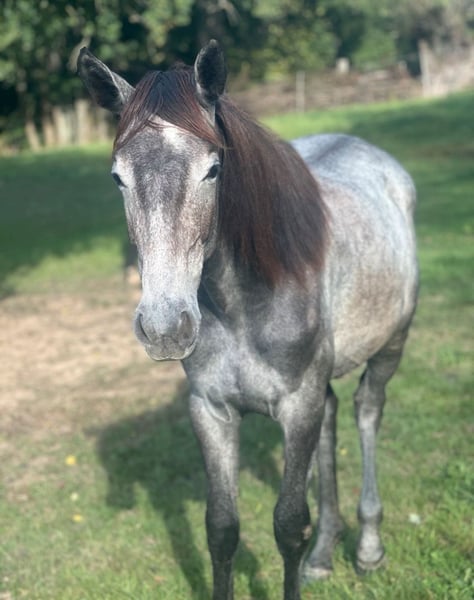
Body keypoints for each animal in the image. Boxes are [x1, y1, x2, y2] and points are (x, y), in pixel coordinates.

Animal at [77, 40, 418, 600]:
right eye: (117, 177)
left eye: (213, 169)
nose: (165, 329)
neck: (242, 305)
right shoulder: (211, 410)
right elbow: (222, 528)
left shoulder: (297, 406)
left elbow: (288, 523)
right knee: (332, 424)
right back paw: (325, 554)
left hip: (391, 345)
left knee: (367, 412)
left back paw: (368, 547)